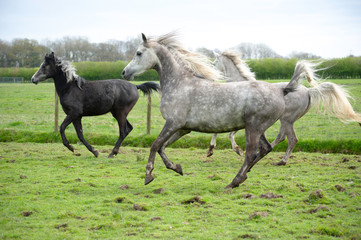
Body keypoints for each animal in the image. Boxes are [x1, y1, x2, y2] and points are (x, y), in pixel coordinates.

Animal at [122, 32, 310, 189]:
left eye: (139, 53)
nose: (124, 72)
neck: (178, 84)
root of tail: (282, 90)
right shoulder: (182, 128)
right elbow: (162, 146)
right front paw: (177, 168)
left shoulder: (173, 123)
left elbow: (155, 145)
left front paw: (148, 175)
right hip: (259, 129)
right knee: (265, 149)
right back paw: (244, 176)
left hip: (254, 128)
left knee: (252, 154)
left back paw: (234, 182)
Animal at [207, 51, 360, 165]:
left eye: (214, 63)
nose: (211, 78)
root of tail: (308, 91)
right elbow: (220, 131)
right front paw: (212, 150)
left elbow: (227, 133)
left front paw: (232, 150)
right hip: (286, 120)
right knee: (281, 137)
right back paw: (265, 154)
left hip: (287, 119)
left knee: (292, 139)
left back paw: (281, 160)